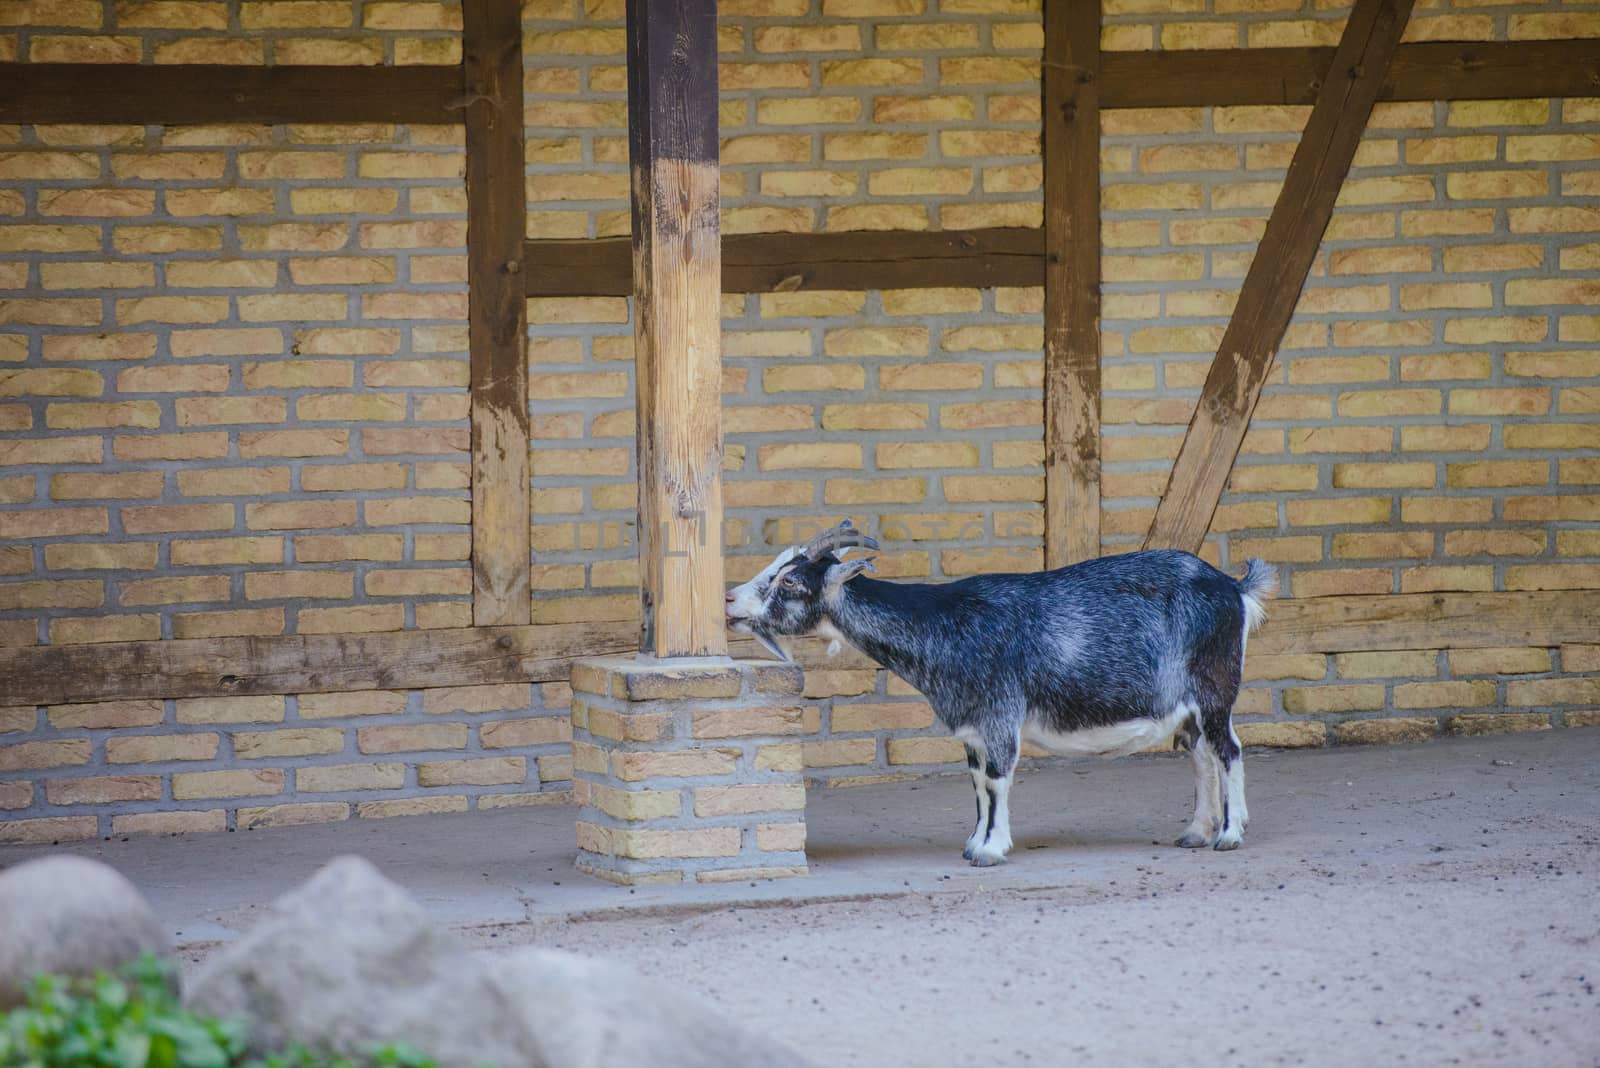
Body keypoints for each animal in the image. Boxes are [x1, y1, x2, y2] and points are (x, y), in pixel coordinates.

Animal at [726, 524, 1273, 869]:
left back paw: (1228, 835)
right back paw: (1196, 832)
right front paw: (973, 842)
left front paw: (992, 850)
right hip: (1192, 704)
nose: (729, 601)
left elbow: (998, 779)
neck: (947, 625)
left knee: (1229, 750)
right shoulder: (972, 725)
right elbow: (976, 783)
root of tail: (1234, 588)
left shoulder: (1000, 713)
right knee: (1201, 754)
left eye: (790, 581)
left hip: (1214, 686)